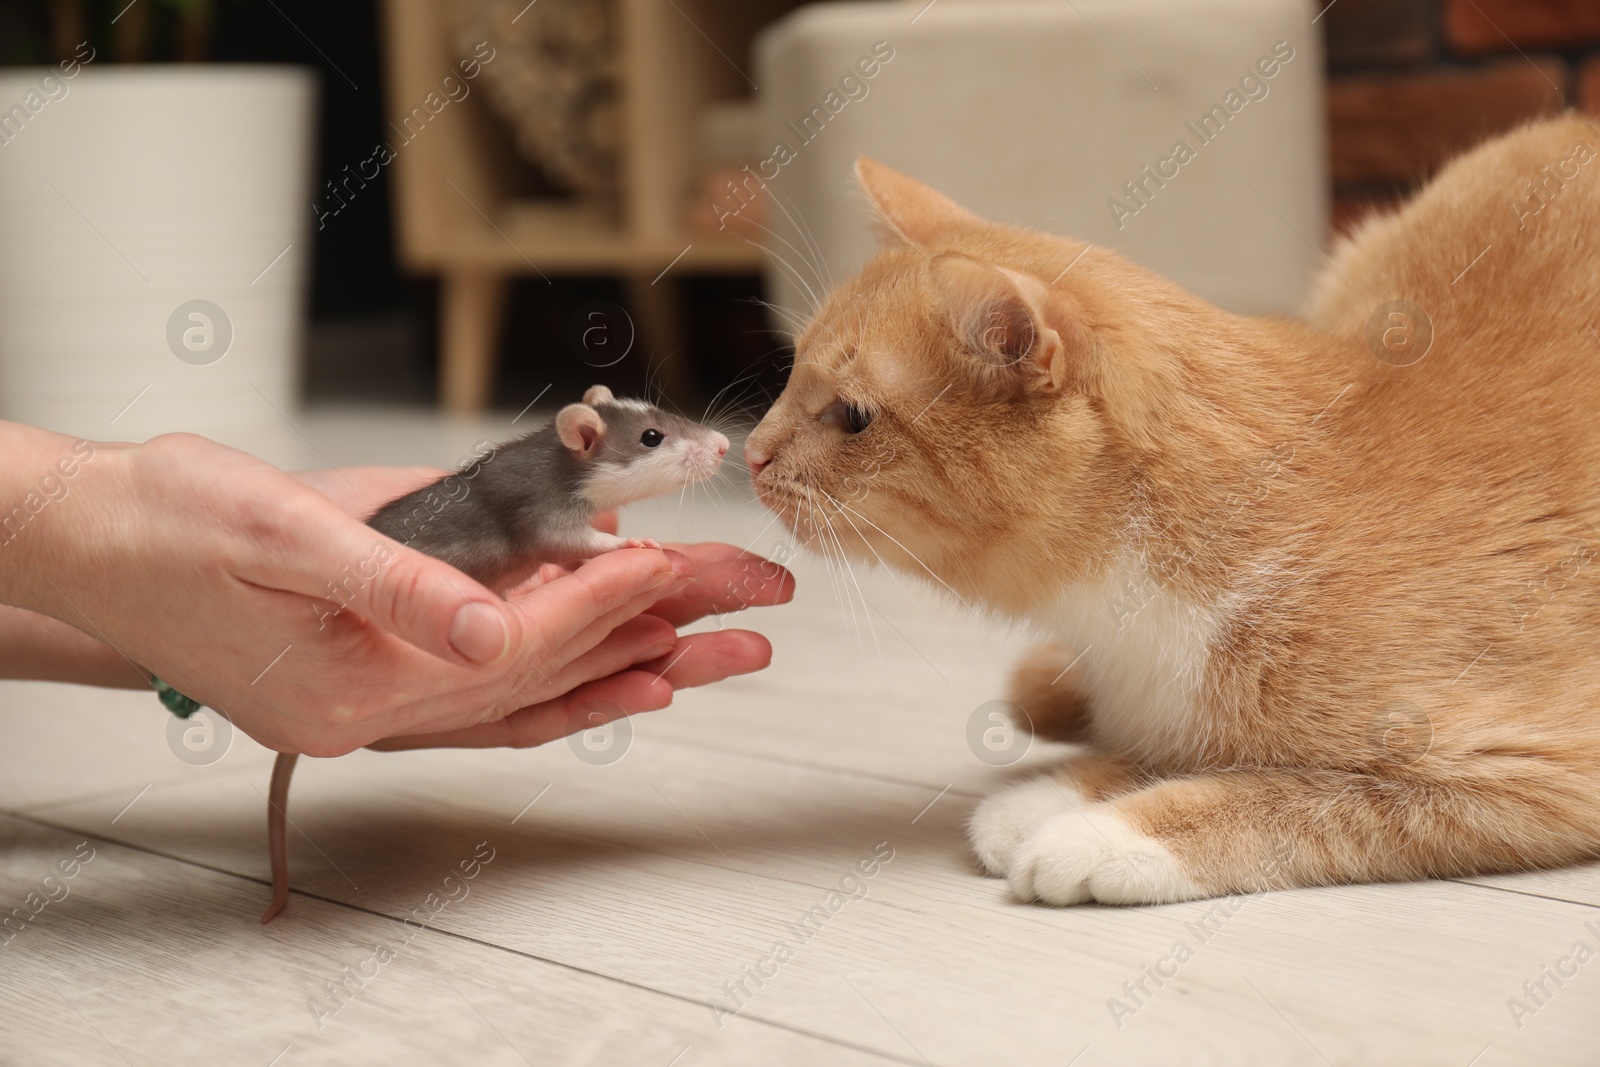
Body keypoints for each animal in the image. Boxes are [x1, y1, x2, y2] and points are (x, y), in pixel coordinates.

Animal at [745, 115, 1600, 902]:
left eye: (852, 416)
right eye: (790, 372)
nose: (751, 451)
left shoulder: (1536, 773)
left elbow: (1300, 797)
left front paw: (1103, 833)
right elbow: (1172, 746)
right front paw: (1063, 788)